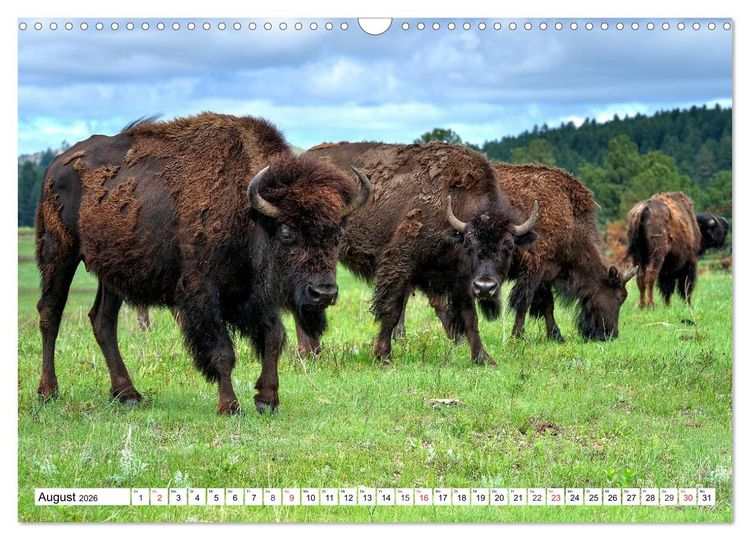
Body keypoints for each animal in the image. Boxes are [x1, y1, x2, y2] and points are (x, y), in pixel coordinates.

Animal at [35, 113, 370, 414]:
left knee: (103, 320)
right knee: (50, 312)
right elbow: (223, 351)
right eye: (287, 232)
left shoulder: (257, 295)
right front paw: (229, 406)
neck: (249, 213)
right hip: (58, 253)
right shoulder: (203, 292)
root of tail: (56, 166)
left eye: (338, 234)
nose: (323, 293)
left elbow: (273, 337)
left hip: (112, 269)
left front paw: (267, 399)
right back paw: (48, 392)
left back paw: (127, 394)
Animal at [295, 142, 539, 365]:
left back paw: (312, 352)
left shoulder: (462, 280)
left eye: (509, 246)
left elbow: (470, 318)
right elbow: (391, 310)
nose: (486, 287)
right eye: (470, 243)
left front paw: (484, 358)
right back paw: (308, 353)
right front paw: (383, 356)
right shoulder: (400, 263)